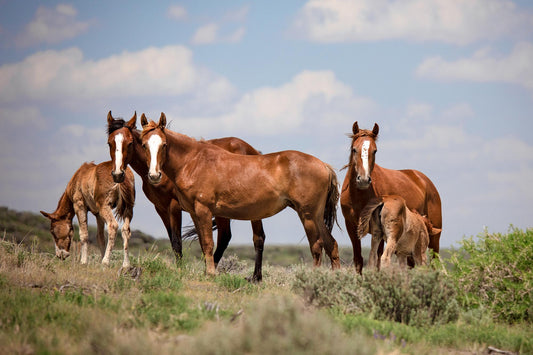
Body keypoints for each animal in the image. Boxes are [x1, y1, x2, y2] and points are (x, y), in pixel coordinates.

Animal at [107, 110, 264, 276]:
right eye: (110, 143)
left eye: (130, 143)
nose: (118, 174)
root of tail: (253, 151)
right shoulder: (161, 209)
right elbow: (177, 240)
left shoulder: (174, 206)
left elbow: (178, 241)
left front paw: (181, 270)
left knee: (254, 237)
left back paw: (254, 277)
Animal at [140, 112, 340, 280]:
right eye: (143, 144)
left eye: (164, 145)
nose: (154, 175)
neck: (194, 162)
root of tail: (324, 165)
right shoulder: (194, 213)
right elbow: (203, 244)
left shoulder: (204, 210)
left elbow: (209, 243)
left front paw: (211, 274)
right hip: (316, 216)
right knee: (331, 244)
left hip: (307, 216)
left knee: (317, 246)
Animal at [340, 121, 440, 274]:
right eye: (354, 149)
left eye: (375, 151)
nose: (363, 180)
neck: (359, 197)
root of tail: (423, 179)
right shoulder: (352, 227)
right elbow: (359, 260)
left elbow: (378, 260)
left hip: (434, 237)